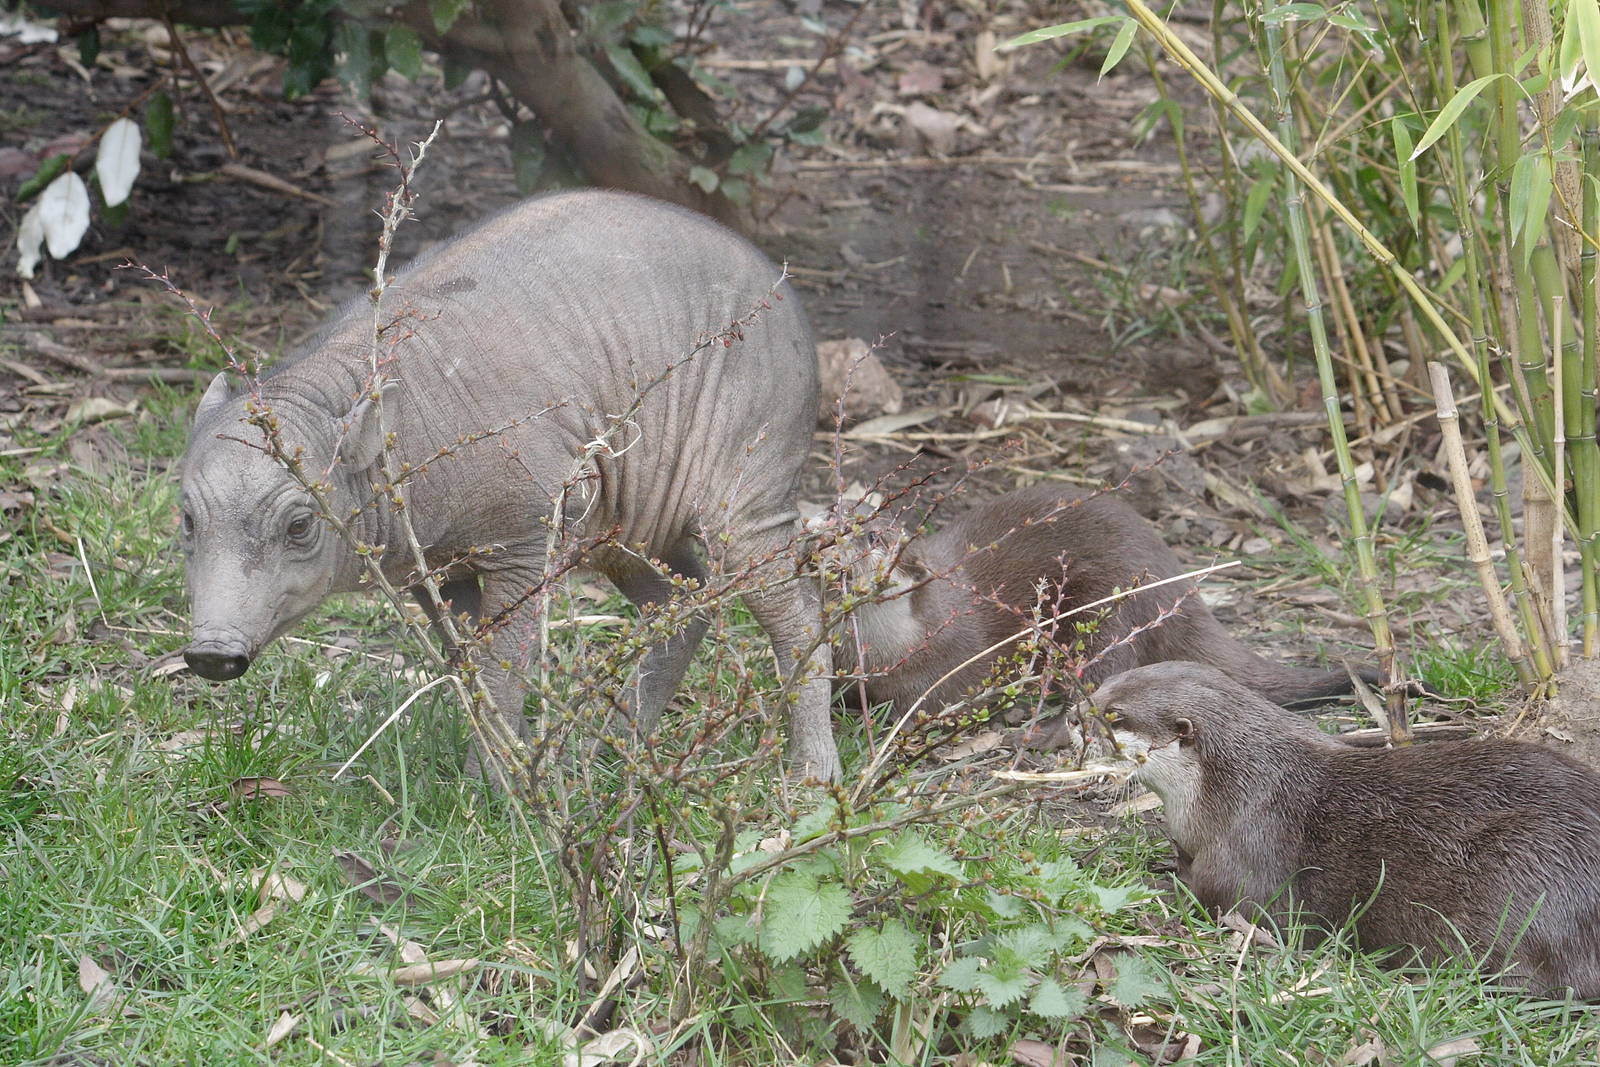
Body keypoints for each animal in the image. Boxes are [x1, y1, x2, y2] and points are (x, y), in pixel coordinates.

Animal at [817, 485, 1365, 716]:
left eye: (871, 537)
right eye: (833, 507)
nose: (830, 527)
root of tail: (1175, 584)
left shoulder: (950, 668)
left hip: (1103, 609)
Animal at [1095, 661, 1600, 997]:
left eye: (1113, 715)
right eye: (1099, 687)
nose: (1080, 711)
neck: (1228, 791)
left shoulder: (1248, 847)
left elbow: (1224, 903)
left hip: (1522, 878)